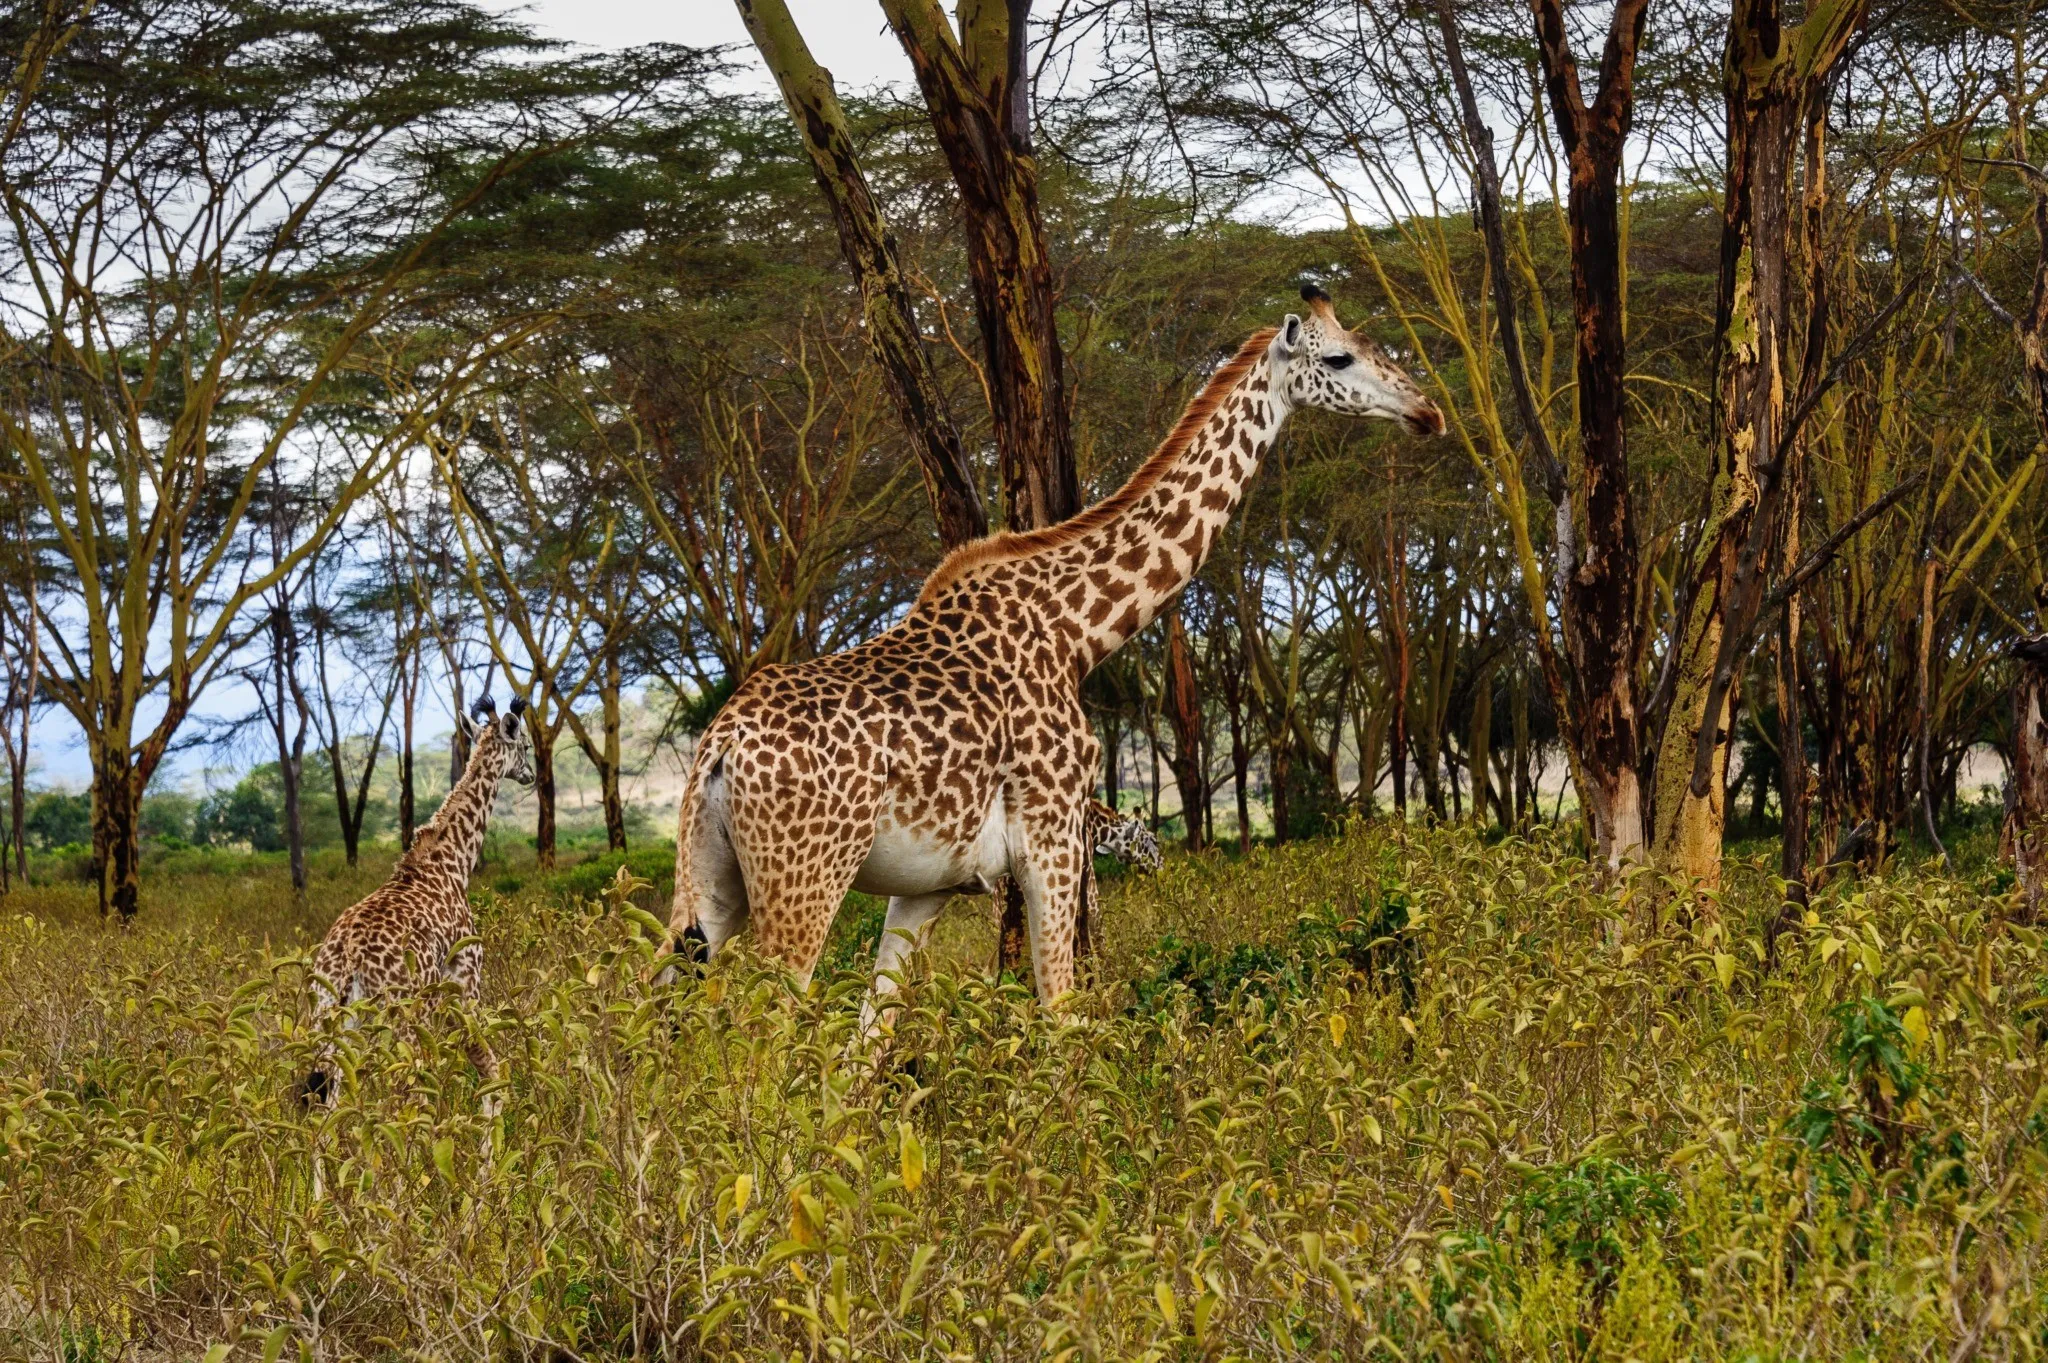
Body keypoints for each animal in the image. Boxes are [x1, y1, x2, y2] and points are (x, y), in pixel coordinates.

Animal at [302, 695, 535, 1106]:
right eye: (524, 745)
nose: (532, 774)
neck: (453, 862)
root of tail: (349, 961)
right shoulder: (464, 980)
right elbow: (489, 1069)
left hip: (331, 1025)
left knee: (330, 1106)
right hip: (404, 1019)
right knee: (412, 1094)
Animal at [656, 285, 1442, 1021]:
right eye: (1337, 358)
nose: (1428, 412)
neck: (1077, 631)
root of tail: (719, 746)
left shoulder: (933, 883)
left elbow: (870, 1035)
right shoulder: (1053, 836)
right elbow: (1062, 1010)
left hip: (708, 886)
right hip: (806, 880)